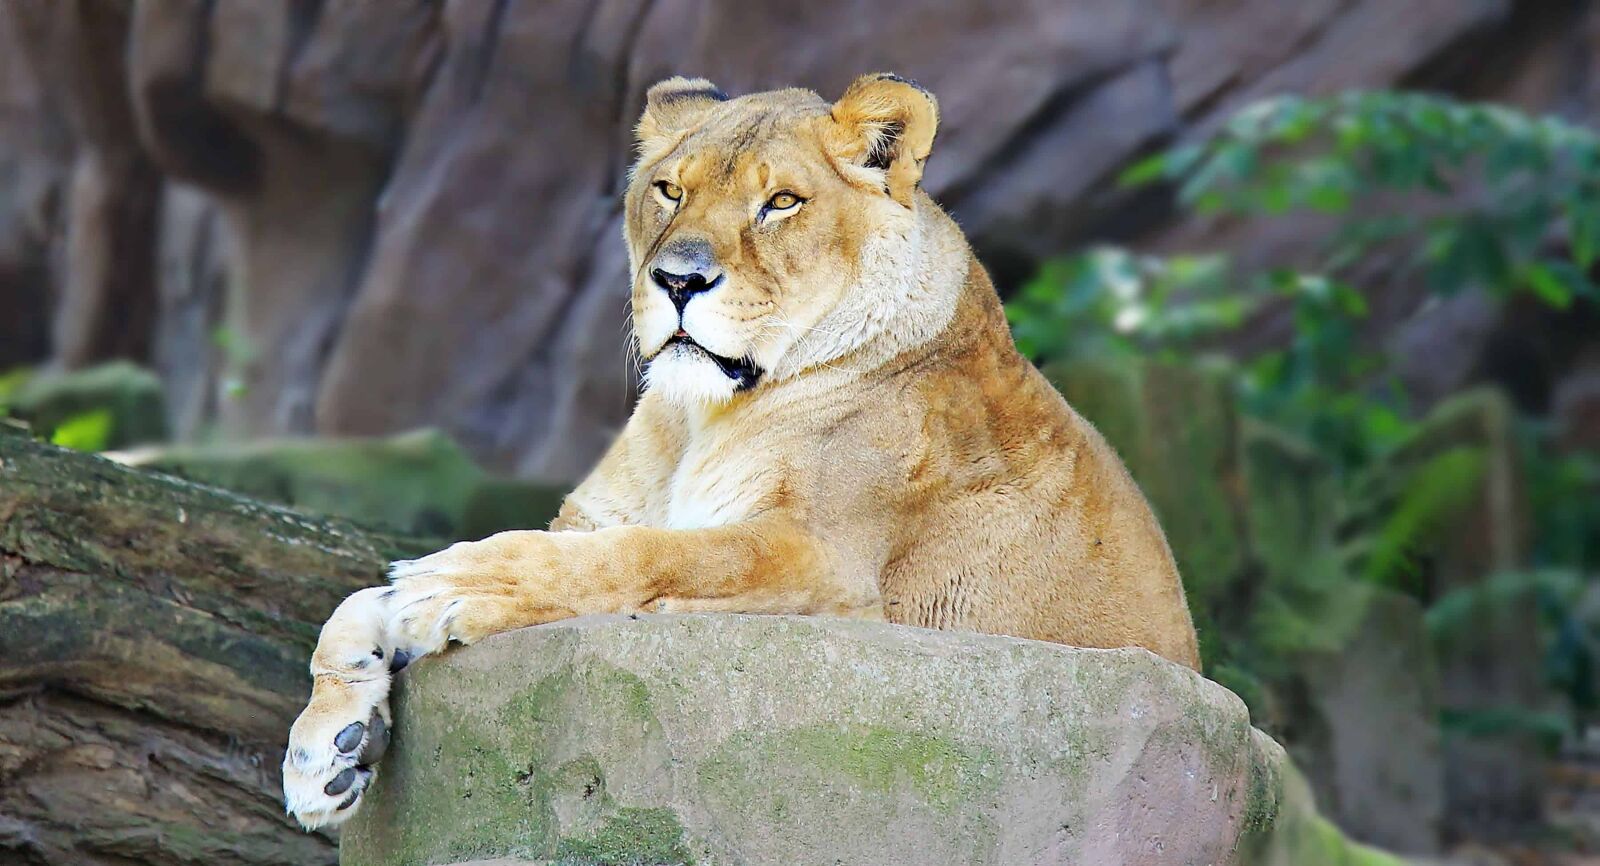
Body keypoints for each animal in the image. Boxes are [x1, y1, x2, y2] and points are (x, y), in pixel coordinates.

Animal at [282, 73, 1200, 829]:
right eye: (669, 191)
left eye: (782, 203)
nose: (679, 281)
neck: (698, 416)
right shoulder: (589, 518)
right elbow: (356, 602)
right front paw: (326, 749)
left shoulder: (826, 563)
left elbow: (652, 554)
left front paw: (465, 582)